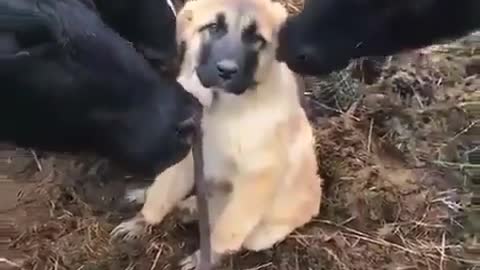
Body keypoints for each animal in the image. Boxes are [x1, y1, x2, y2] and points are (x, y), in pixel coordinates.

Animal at [110, 0, 324, 266]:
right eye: (213, 27)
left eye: (256, 39)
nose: (227, 71)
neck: (219, 103)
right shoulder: (186, 151)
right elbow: (163, 190)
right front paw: (142, 221)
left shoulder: (257, 175)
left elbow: (226, 231)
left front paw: (204, 258)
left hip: (259, 230)